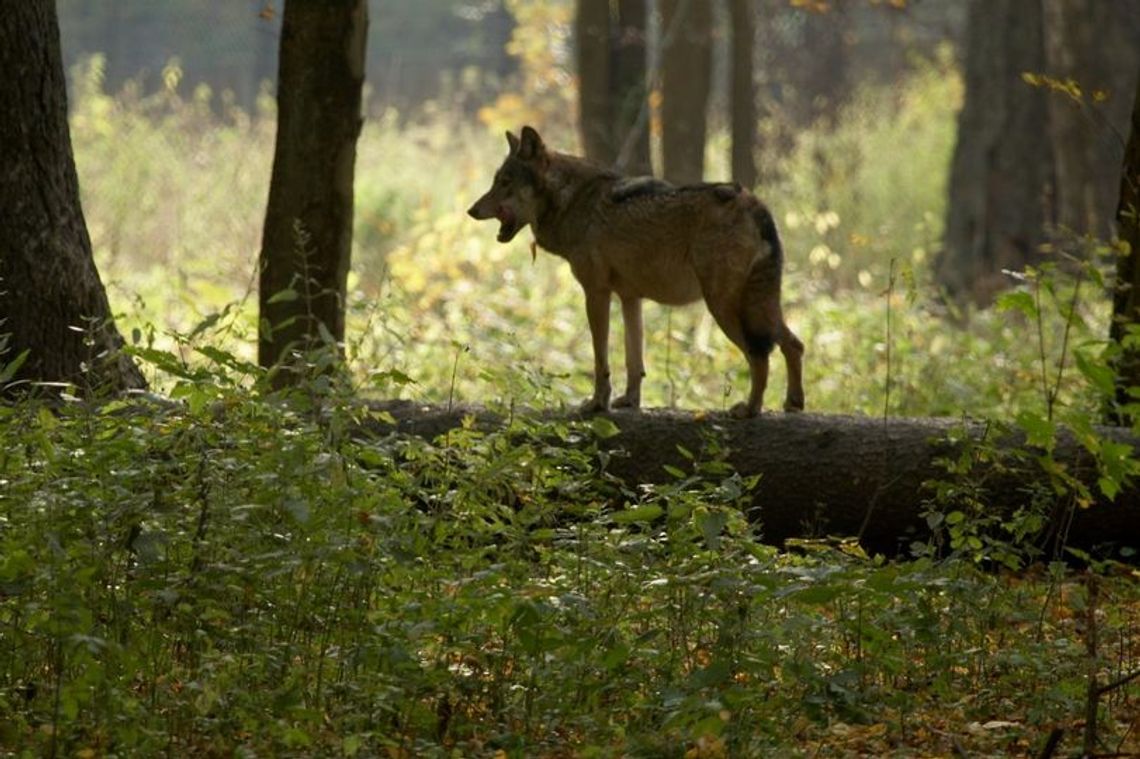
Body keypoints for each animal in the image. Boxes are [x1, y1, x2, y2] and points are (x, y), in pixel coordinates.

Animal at [467, 126, 807, 417]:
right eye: (496, 181)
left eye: (505, 182)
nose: (471, 210)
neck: (573, 201)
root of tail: (753, 202)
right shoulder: (630, 298)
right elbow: (634, 361)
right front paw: (629, 401)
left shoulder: (596, 293)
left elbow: (601, 359)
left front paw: (597, 404)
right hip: (756, 304)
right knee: (794, 344)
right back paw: (793, 403)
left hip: (724, 307)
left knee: (759, 355)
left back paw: (750, 410)